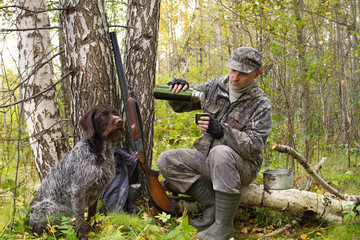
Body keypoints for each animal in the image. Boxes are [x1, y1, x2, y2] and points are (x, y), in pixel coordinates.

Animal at [28, 105, 124, 240]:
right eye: (103, 115)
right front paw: (83, 236)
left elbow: (92, 214)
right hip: (51, 208)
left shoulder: (97, 191)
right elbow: (80, 219)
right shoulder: (78, 191)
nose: (120, 121)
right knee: (44, 230)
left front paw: (93, 231)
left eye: (115, 113)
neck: (101, 151)